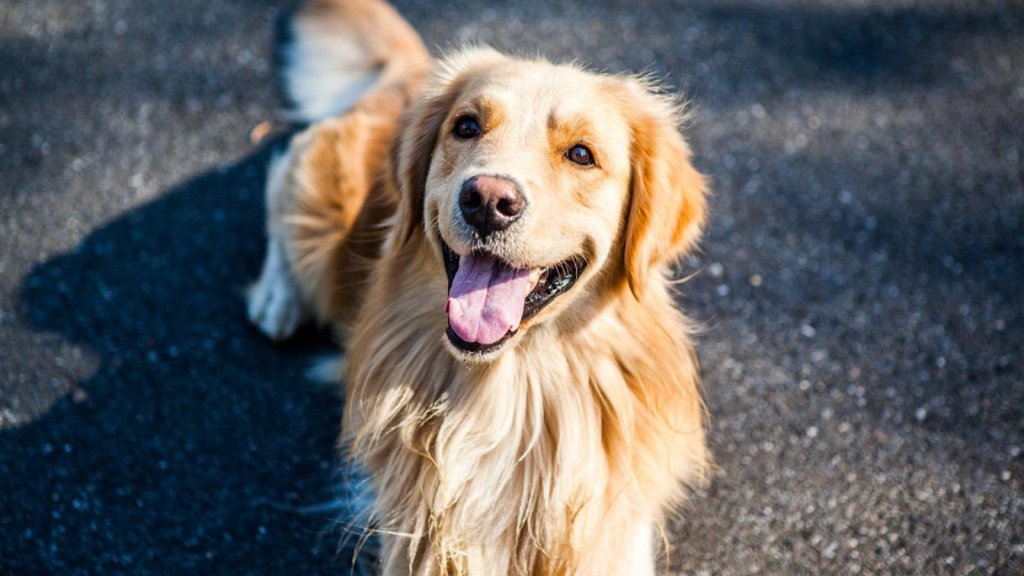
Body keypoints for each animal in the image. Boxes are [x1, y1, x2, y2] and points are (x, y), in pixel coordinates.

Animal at [247, 0, 712, 569]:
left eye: (581, 154)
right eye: (466, 126)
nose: (488, 200)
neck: (511, 390)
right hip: (319, 208)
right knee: (280, 182)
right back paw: (277, 296)